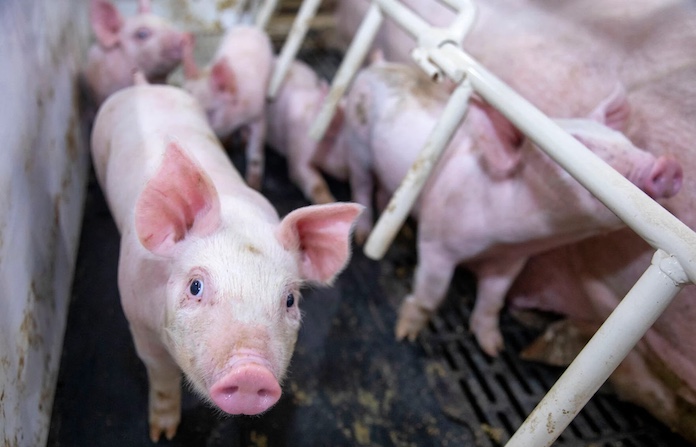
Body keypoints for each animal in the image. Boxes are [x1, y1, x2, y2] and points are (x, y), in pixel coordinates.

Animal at [90, 81, 362, 441]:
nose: (251, 373)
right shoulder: (138, 323)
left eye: (290, 300)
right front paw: (163, 434)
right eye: (195, 286)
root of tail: (141, 84)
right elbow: (161, 376)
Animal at [181, 26, 274, 191]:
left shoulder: (258, 115)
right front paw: (226, 144)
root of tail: (248, 27)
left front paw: (253, 185)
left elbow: (255, 151)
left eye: (210, 111)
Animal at [341, 61, 682, 357]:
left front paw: (494, 348)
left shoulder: (510, 261)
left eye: (625, 140)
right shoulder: (436, 243)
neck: (504, 240)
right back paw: (364, 235)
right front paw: (405, 334)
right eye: (580, 145)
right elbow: (431, 293)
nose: (667, 165)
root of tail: (378, 66)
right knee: (361, 183)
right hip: (357, 143)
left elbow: (494, 300)